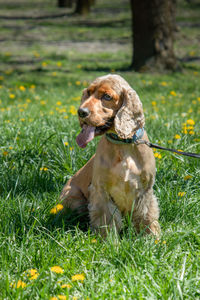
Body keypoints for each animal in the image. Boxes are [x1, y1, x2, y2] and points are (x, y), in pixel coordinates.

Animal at [60, 74, 160, 237]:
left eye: (107, 96)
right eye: (88, 92)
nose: (81, 112)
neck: (122, 145)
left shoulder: (145, 190)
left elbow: (147, 215)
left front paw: (152, 237)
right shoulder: (101, 190)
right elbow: (106, 219)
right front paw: (108, 240)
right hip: (73, 196)